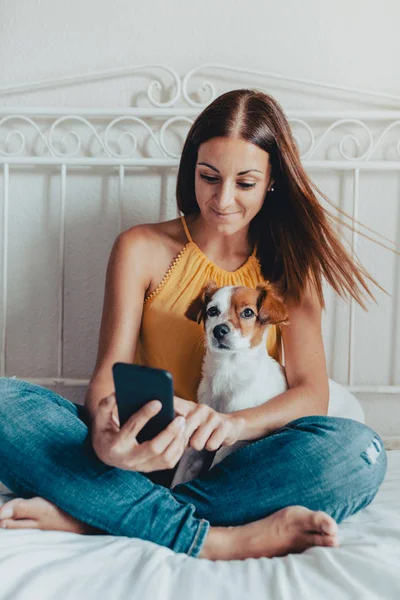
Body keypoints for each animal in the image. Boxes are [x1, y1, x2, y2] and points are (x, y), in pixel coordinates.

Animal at [170, 280, 290, 488]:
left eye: (248, 312)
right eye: (212, 311)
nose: (219, 330)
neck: (226, 371)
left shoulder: (230, 442)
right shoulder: (198, 438)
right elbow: (178, 477)